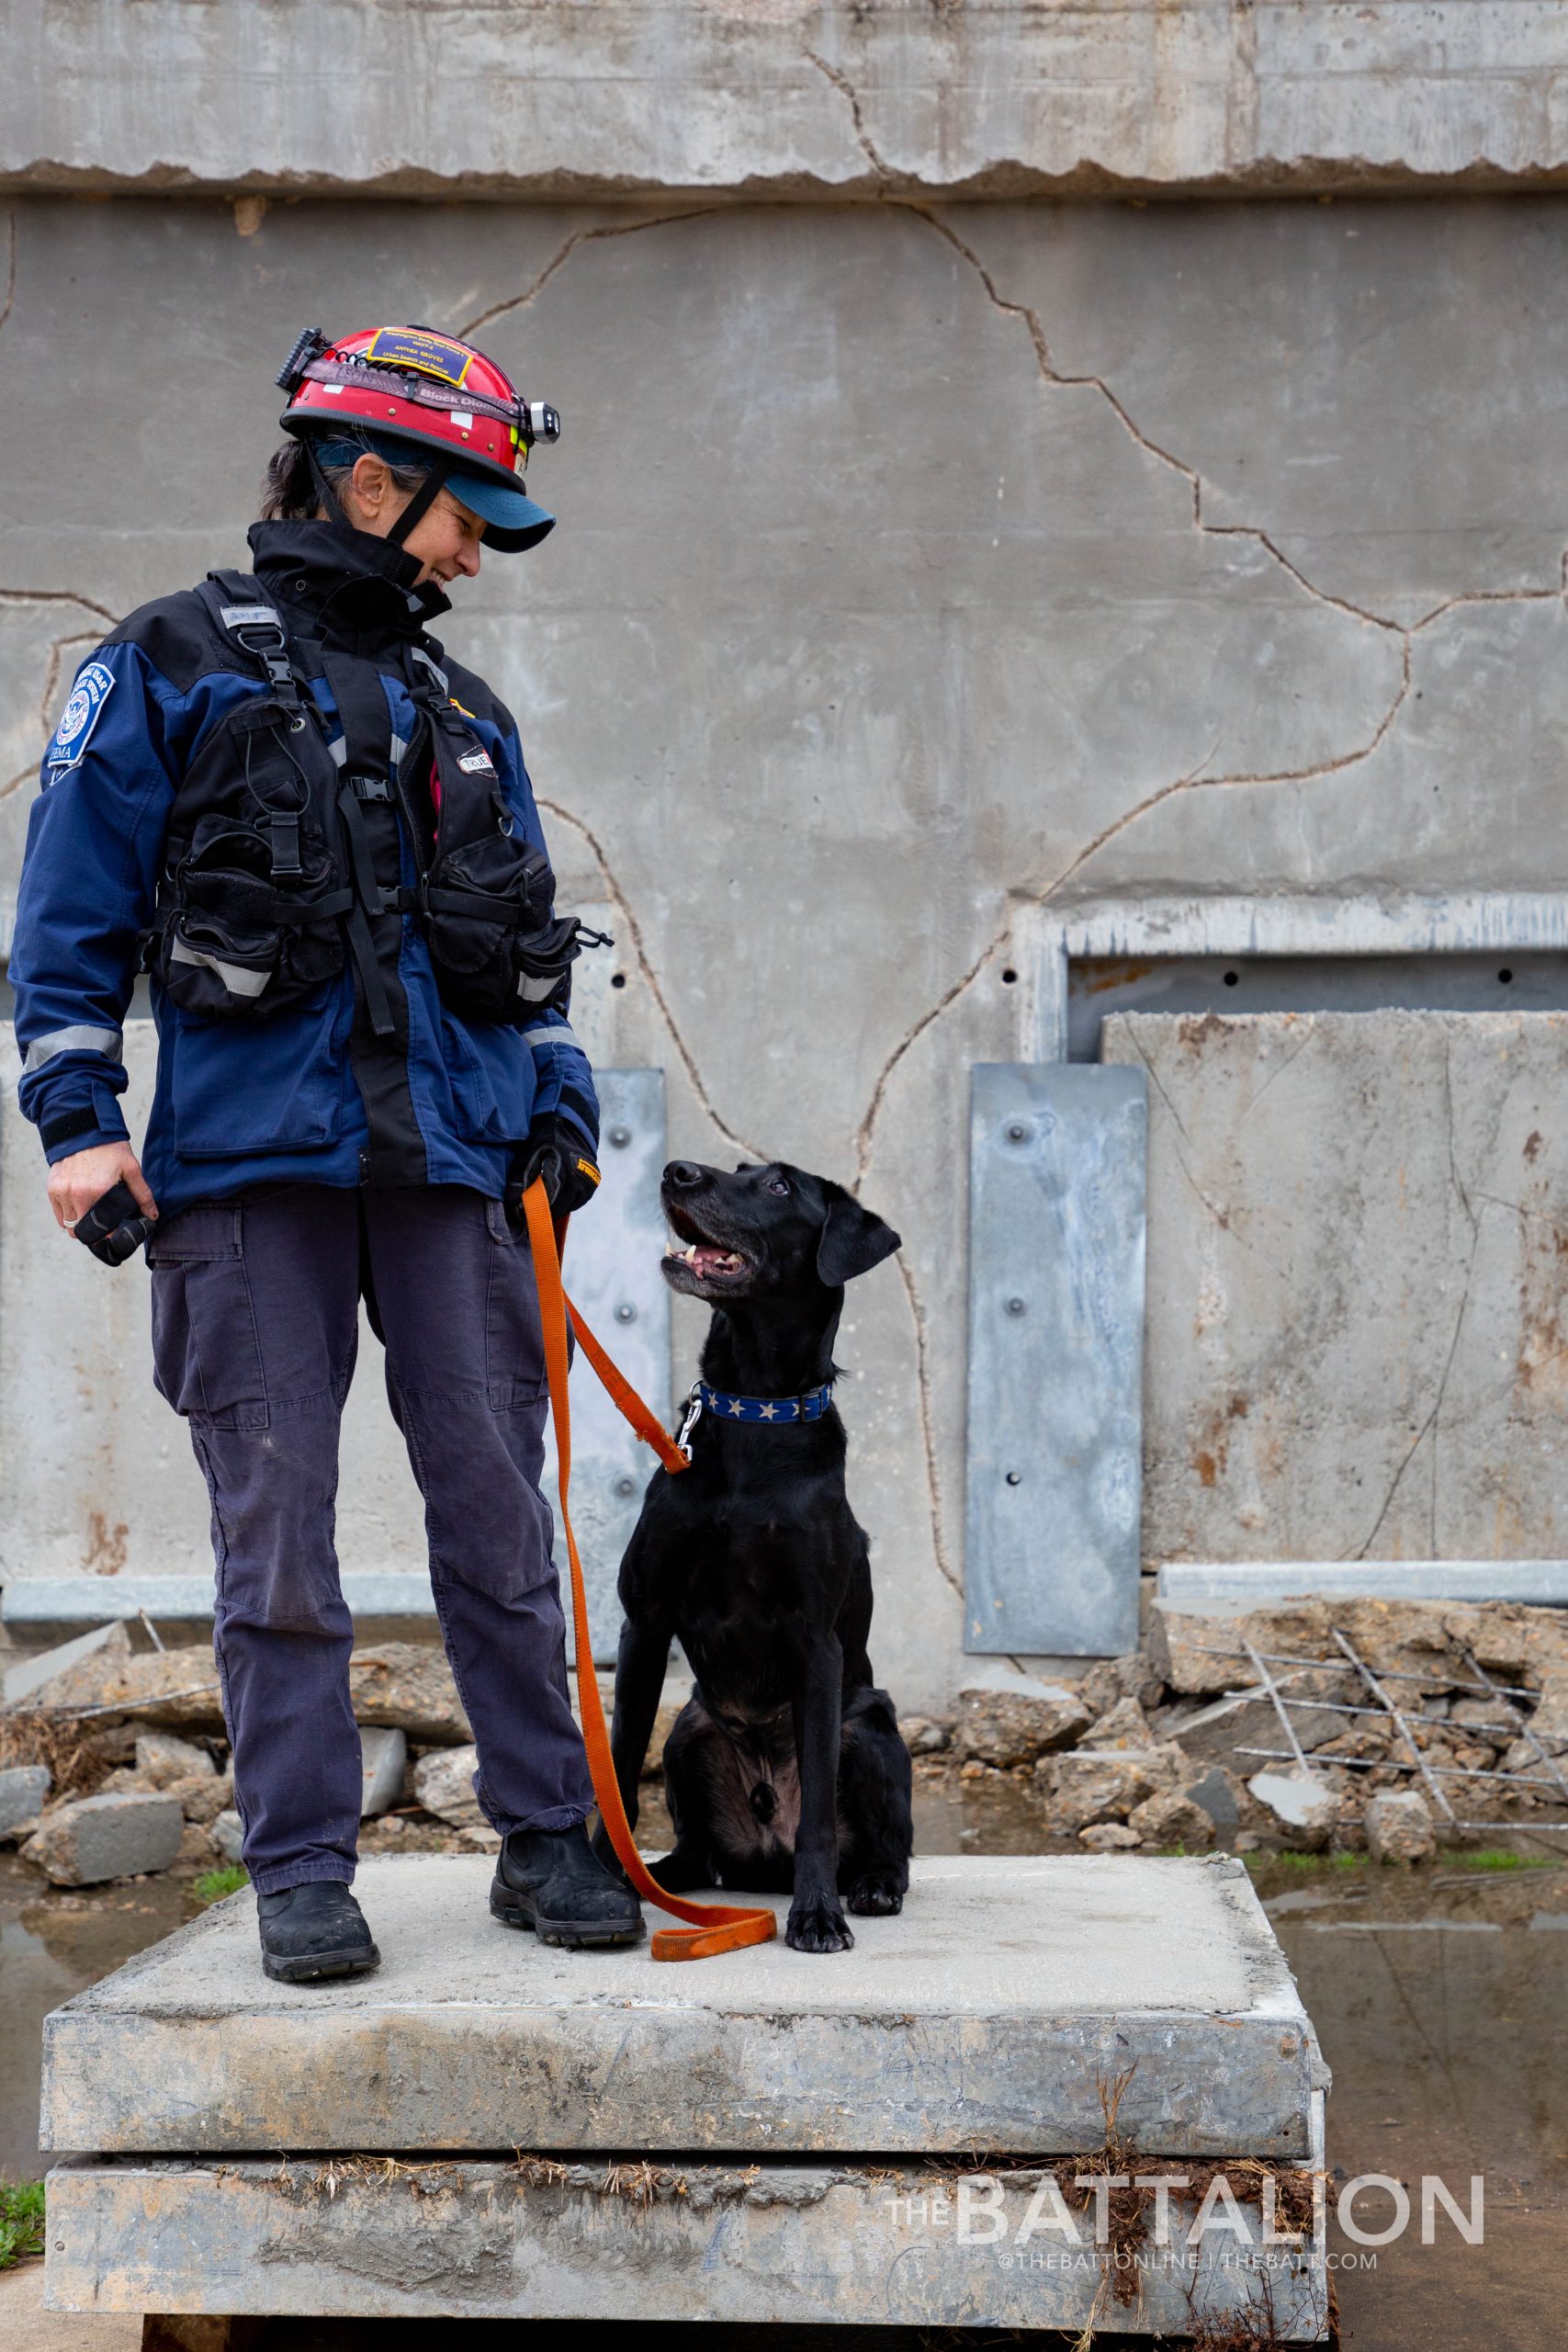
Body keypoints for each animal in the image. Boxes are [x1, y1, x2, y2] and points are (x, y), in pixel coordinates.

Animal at [602, 1152, 921, 1947]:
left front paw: (817, 1915)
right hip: (689, 1732)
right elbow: (618, 1771)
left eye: (778, 1186)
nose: (676, 1171)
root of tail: (761, 1860)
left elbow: (817, 1818)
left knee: (887, 1846)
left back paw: (869, 1886)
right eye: (738, 1169)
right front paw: (604, 1881)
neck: (754, 1413)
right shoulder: (644, 1623)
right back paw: (668, 1878)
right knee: (697, 1851)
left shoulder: (816, 1643)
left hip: (867, 1728)